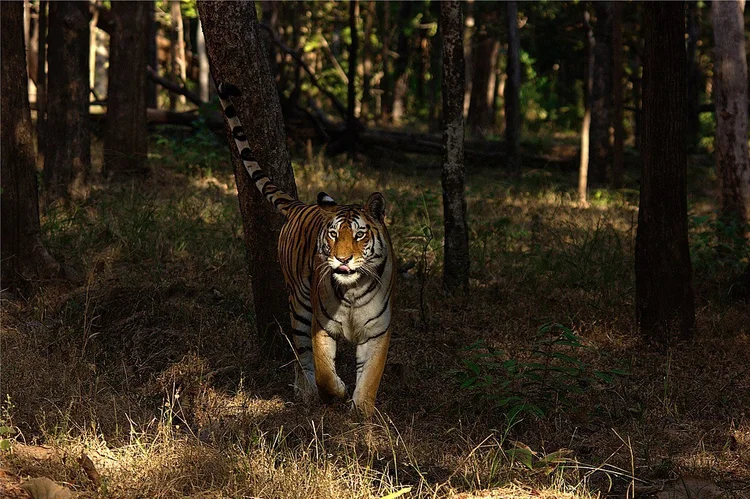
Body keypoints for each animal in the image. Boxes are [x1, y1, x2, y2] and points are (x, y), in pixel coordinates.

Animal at [216, 82, 396, 418]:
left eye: (360, 235)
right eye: (334, 234)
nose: (342, 258)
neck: (352, 291)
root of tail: (300, 206)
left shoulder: (377, 331)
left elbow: (370, 377)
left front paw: (362, 413)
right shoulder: (320, 325)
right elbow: (324, 369)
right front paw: (335, 391)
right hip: (298, 303)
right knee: (301, 353)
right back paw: (306, 391)